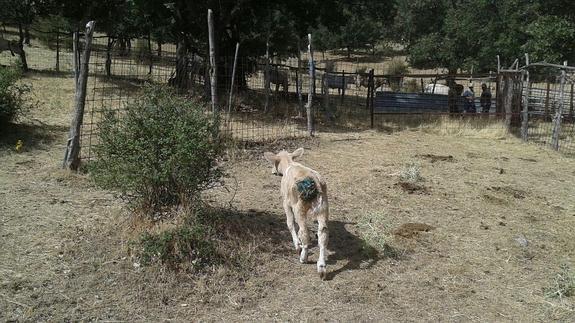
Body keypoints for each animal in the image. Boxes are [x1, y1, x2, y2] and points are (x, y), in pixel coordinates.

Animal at [264, 148, 330, 280]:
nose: (272, 172)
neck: (289, 163)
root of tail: (313, 182)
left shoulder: (286, 202)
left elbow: (290, 223)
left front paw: (297, 245)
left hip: (299, 207)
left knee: (304, 232)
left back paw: (303, 257)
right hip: (323, 205)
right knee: (323, 233)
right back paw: (321, 267)